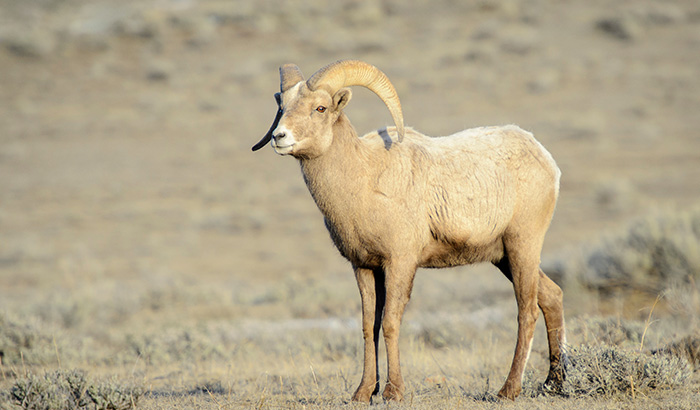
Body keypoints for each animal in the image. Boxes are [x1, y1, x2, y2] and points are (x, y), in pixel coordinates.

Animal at [252, 60, 566, 402]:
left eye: (320, 108)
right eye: (282, 106)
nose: (279, 137)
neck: (365, 180)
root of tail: (546, 160)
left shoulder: (400, 263)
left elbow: (391, 322)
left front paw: (393, 391)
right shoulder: (364, 267)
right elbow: (369, 326)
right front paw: (364, 392)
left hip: (523, 246)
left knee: (527, 311)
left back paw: (509, 390)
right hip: (504, 258)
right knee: (552, 297)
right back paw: (554, 383)